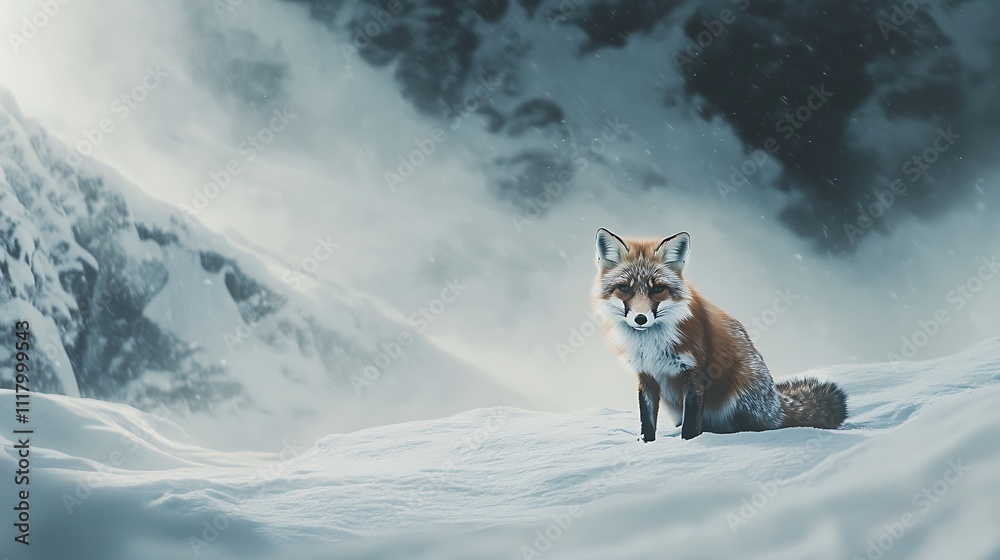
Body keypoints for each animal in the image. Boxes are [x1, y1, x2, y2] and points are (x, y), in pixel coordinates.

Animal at [592, 228, 847, 441]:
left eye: (658, 289)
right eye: (624, 288)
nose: (641, 319)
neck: (651, 344)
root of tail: (776, 403)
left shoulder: (697, 373)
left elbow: (691, 425)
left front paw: (689, 445)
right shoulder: (646, 374)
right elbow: (647, 421)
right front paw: (646, 444)